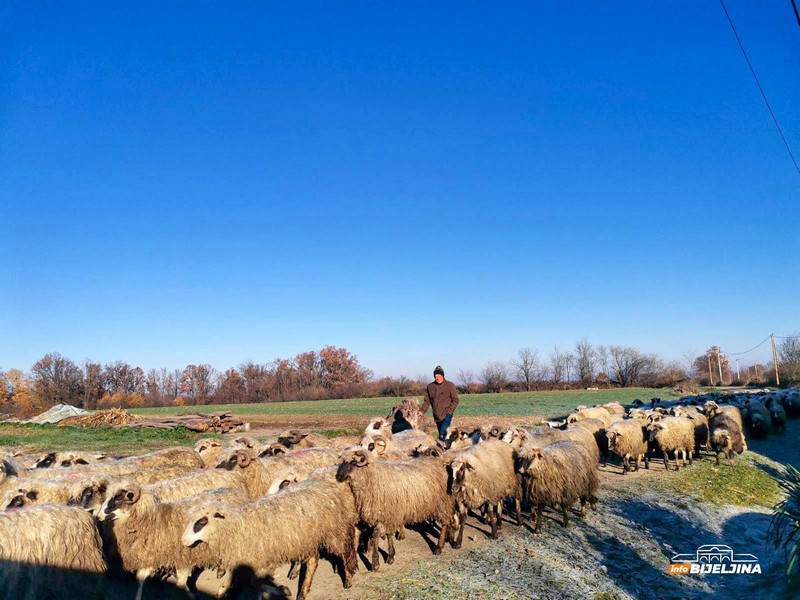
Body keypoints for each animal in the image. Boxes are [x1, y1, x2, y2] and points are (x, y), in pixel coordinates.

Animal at [181, 476, 360, 596]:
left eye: (202, 521)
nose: (183, 540)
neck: (238, 528)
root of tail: (328, 486)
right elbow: (232, 583)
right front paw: (222, 591)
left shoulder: (262, 562)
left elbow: (255, 583)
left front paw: (282, 590)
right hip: (306, 538)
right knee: (313, 560)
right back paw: (303, 591)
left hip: (334, 532)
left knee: (346, 551)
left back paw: (348, 579)